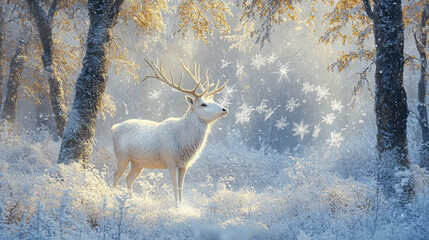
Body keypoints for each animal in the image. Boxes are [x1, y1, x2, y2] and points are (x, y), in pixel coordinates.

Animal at [112, 58, 229, 206]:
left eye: (213, 100)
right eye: (203, 104)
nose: (225, 109)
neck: (183, 142)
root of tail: (114, 128)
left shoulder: (184, 165)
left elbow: (181, 188)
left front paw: (181, 206)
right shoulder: (170, 161)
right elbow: (175, 187)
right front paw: (175, 207)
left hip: (137, 162)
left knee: (128, 178)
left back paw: (130, 199)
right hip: (121, 155)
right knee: (116, 176)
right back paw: (113, 199)